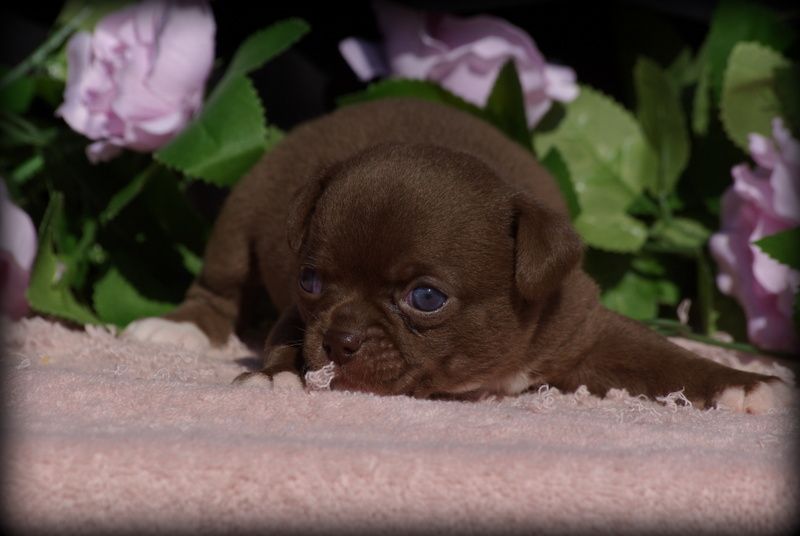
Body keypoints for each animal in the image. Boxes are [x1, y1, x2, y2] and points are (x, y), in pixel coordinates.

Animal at [124, 97, 792, 412]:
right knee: (219, 284)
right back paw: (180, 326)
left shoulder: (585, 331)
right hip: (242, 209)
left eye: (425, 297)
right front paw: (278, 374)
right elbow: (285, 338)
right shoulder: (295, 311)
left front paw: (745, 385)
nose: (339, 341)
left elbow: (667, 359)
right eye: (310, 281)